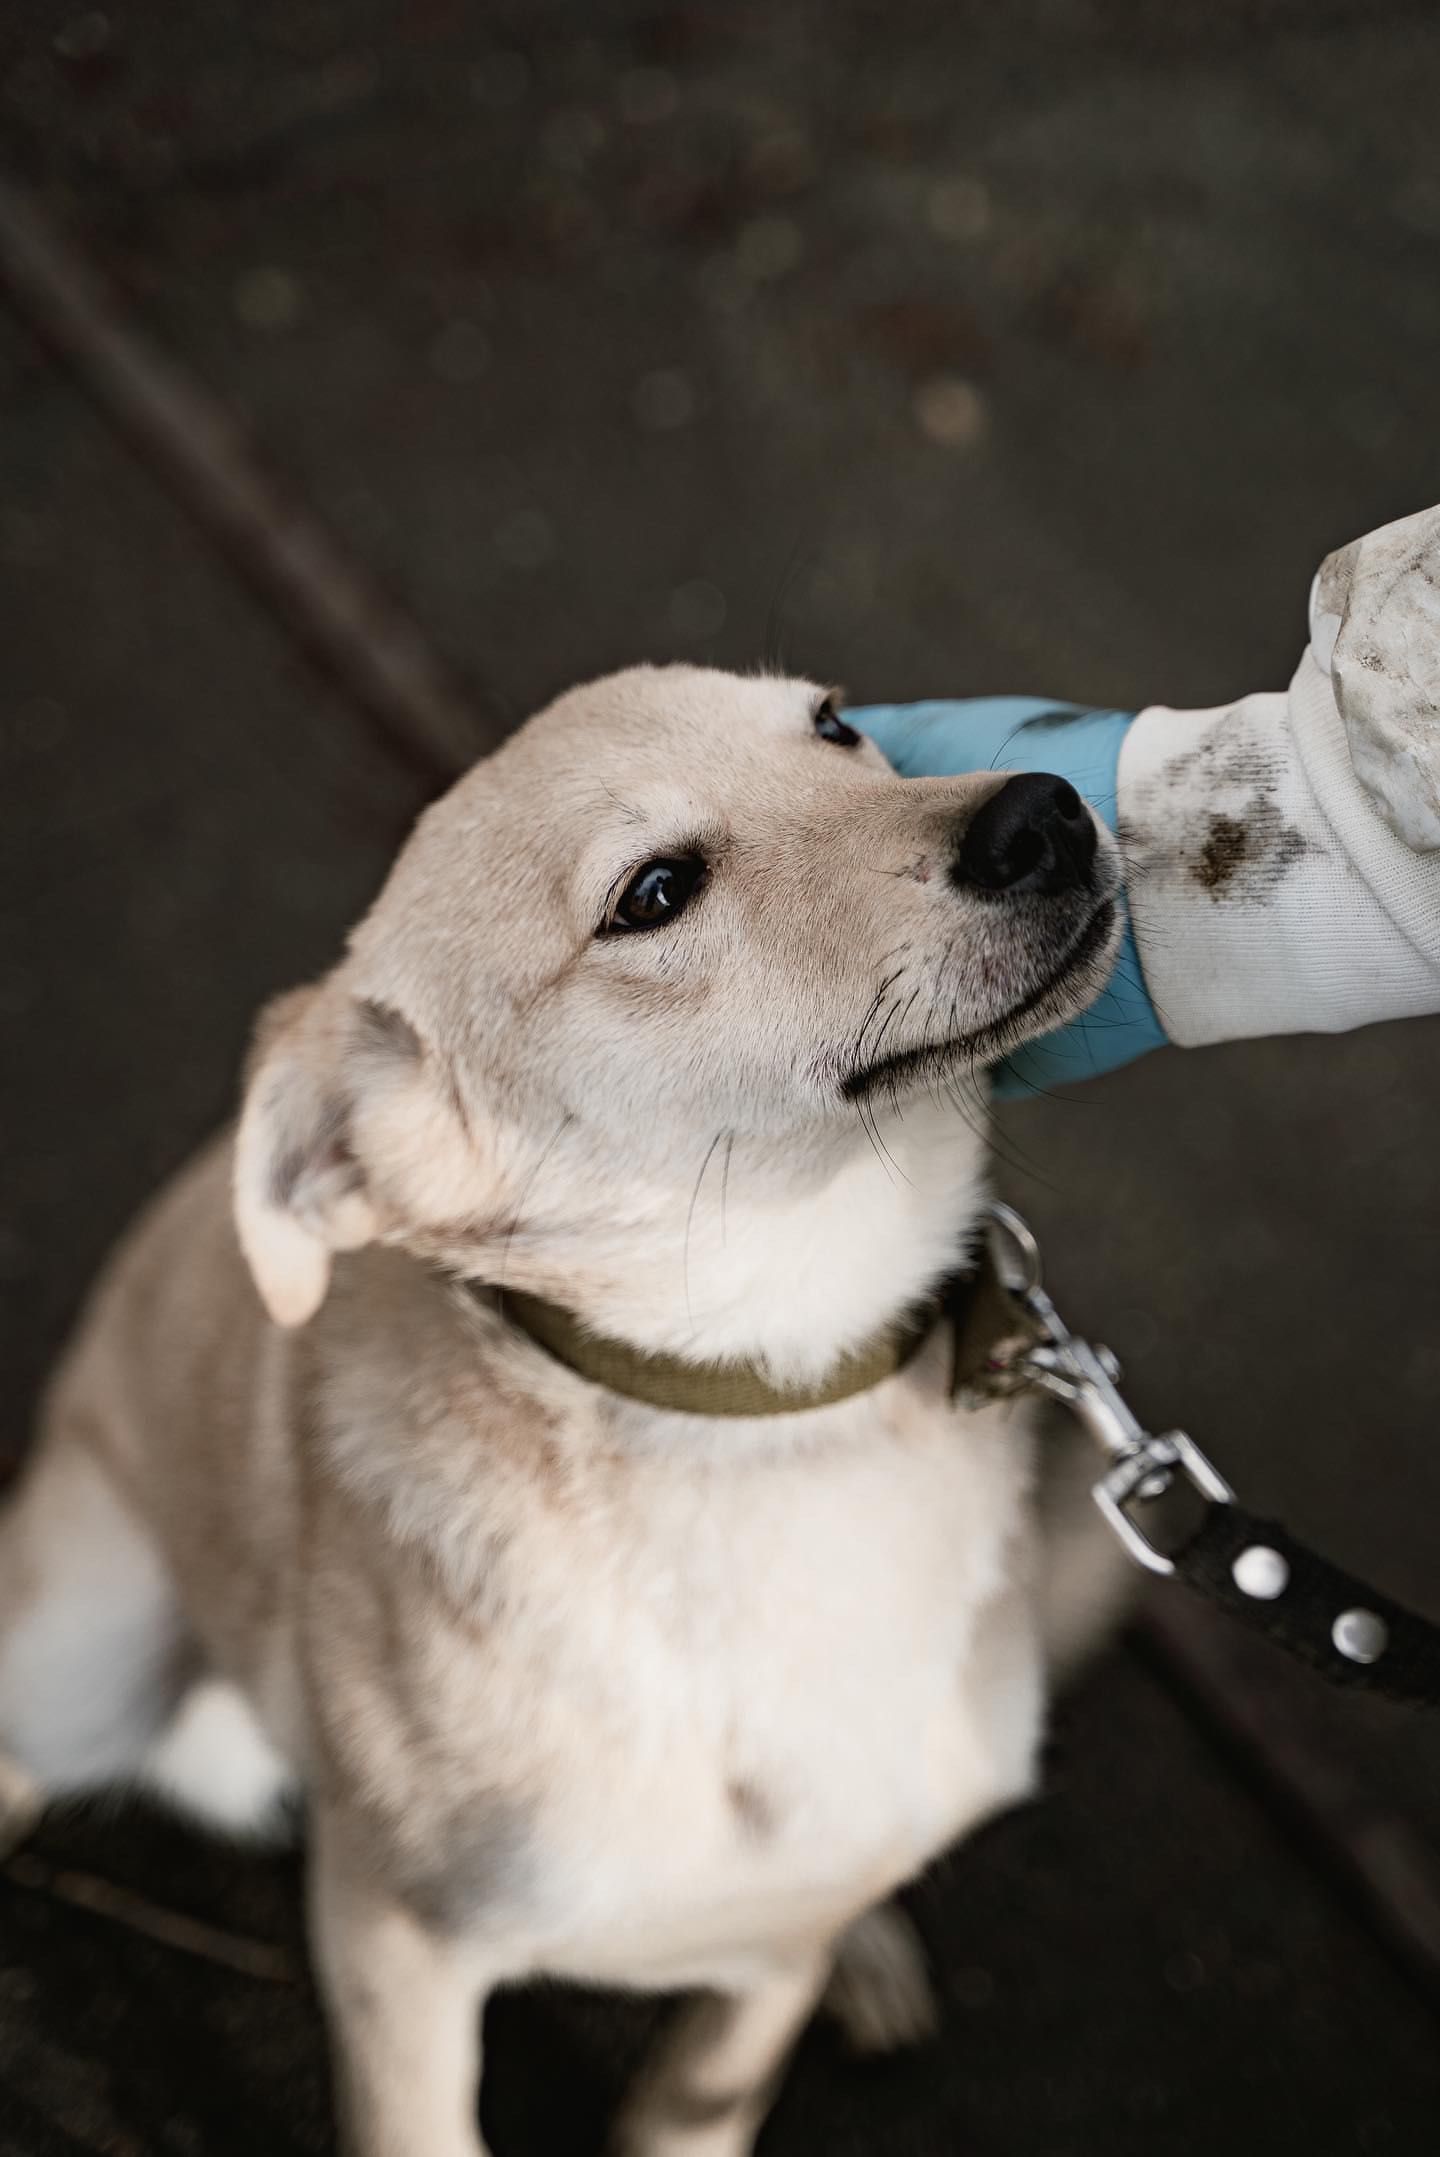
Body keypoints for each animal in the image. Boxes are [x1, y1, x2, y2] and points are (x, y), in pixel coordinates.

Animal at [0, 664, 1120, 2148]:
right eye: (653, 893)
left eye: (834, 725)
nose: (1044, 812)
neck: (762, 1427)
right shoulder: (394, 1950)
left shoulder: (753, 1988)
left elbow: (704, 2082)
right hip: (78, 1653)